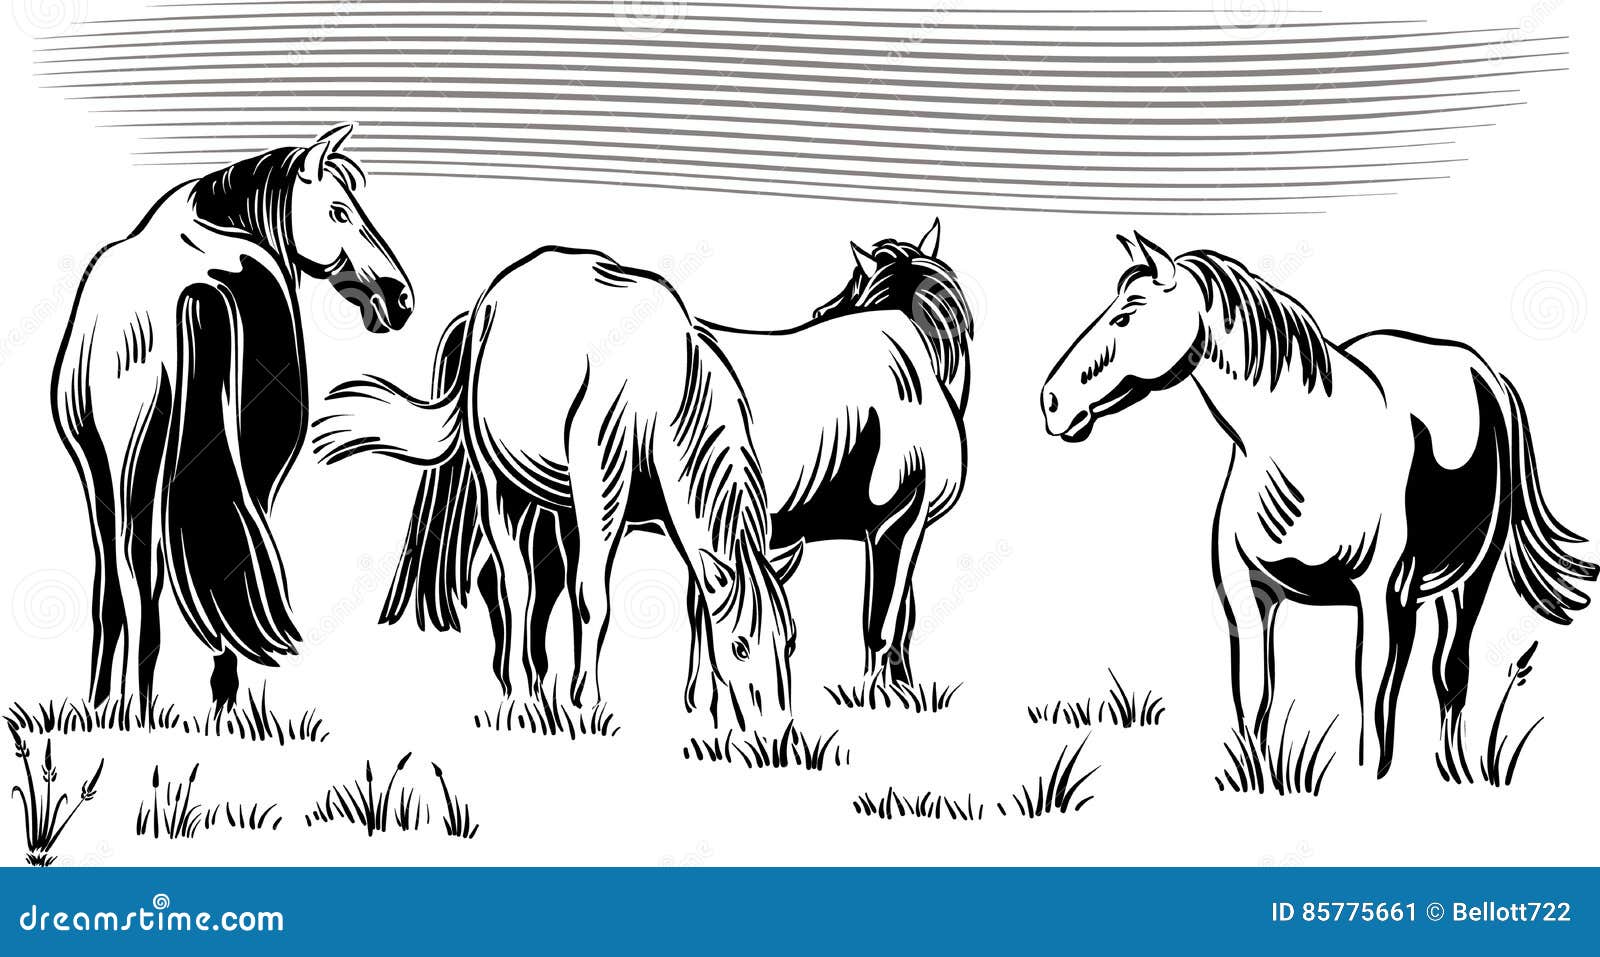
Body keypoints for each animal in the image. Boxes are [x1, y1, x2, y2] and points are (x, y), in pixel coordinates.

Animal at [51, 125, 414, 714]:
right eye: (339, 211)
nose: (400, 299)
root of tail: (197, 288)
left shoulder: (96, 464)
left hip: (125, 465)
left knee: (135, 579)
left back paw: (129, 706)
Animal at [313, 247, 796, 729]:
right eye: (741, 647)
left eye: (790, 642)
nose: (776, 730)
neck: (665, 393)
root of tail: (484, 302)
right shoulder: (603, 494)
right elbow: (592, 598)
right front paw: (589, 703)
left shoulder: (675, 520)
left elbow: (697, 602)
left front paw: (702, 705)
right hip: (503, 488)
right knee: (515, 585)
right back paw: (522, 697)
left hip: (559, 501)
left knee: (546, 581)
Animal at [1039, 233, 1595, 777]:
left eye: (1125, 317)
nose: (1051, 401)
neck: (1301, 453)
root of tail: (1484, 372)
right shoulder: (1248, 596)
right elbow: (1254, 698)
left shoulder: (1380, 599)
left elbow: (1373, 703)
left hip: (1471, 576)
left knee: (1450, 673)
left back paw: (1456, 770)